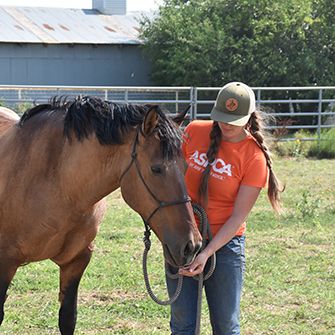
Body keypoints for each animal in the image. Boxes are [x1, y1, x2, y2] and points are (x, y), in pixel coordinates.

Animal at [0, 97, 202, 335]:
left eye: (185, 166)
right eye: (156, 169)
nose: (192, 246)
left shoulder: (77, 261)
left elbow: (67, 318)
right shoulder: (5, 263)